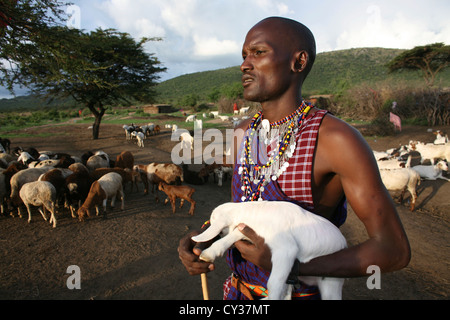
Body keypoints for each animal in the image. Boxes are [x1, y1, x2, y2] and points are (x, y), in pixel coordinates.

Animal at [192, 201, 346, 302]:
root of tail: (344, 244)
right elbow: (237, 233)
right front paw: (211, 252)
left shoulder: (286, 249)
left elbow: (272, 284)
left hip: (331, 283)